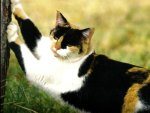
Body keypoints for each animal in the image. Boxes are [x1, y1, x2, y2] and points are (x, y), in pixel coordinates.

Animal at [7, 0, 150, 113]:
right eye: (56, 37)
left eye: (69, 44)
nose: (56, 48)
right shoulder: (42, 47)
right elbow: (29, 28)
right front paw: (15, 4)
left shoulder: (39, 72)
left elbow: (22, 50)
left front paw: (11, 33)